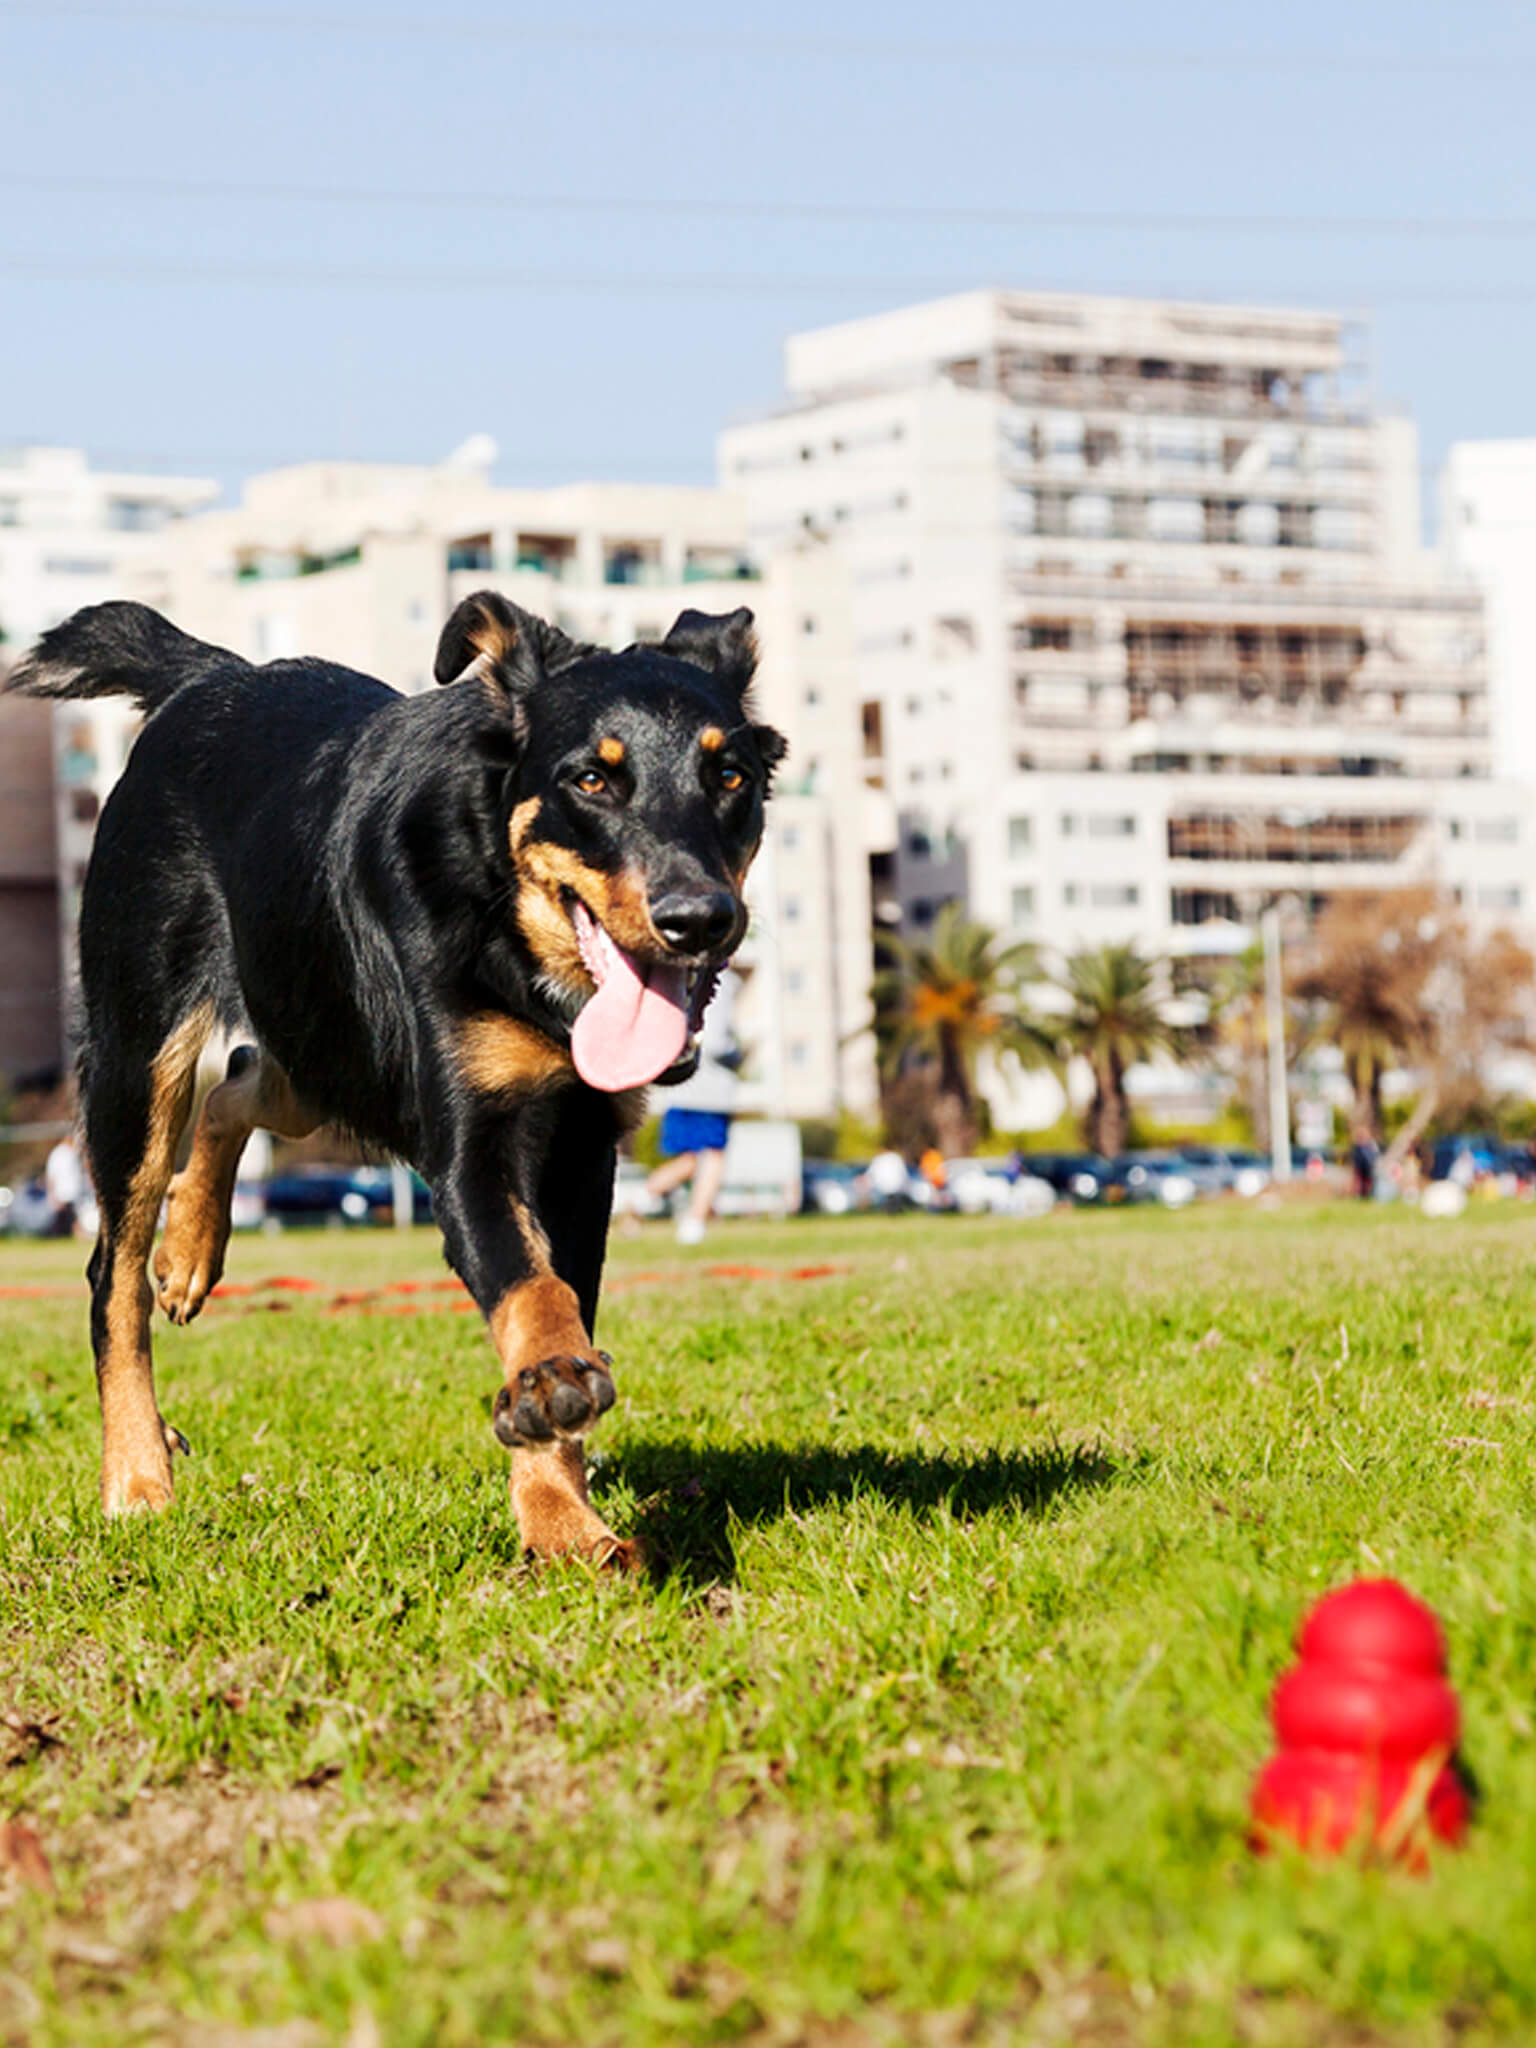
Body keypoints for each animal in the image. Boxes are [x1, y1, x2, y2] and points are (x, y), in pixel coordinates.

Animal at [9, 593, 782, 1564]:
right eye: (592, 781)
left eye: (730, 776)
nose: (699, 920)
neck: (507, 923)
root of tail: (214, 674)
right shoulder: (470, 1145)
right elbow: (531, 1288)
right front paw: (553, 1423)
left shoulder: (581, 1148)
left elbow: (564, 1292)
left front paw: (561, 1516)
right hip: (139, 1053)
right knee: (112, 1277)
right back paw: (139, 1475)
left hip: (319, 1032)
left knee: (242, 1081)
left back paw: (188, 1249)